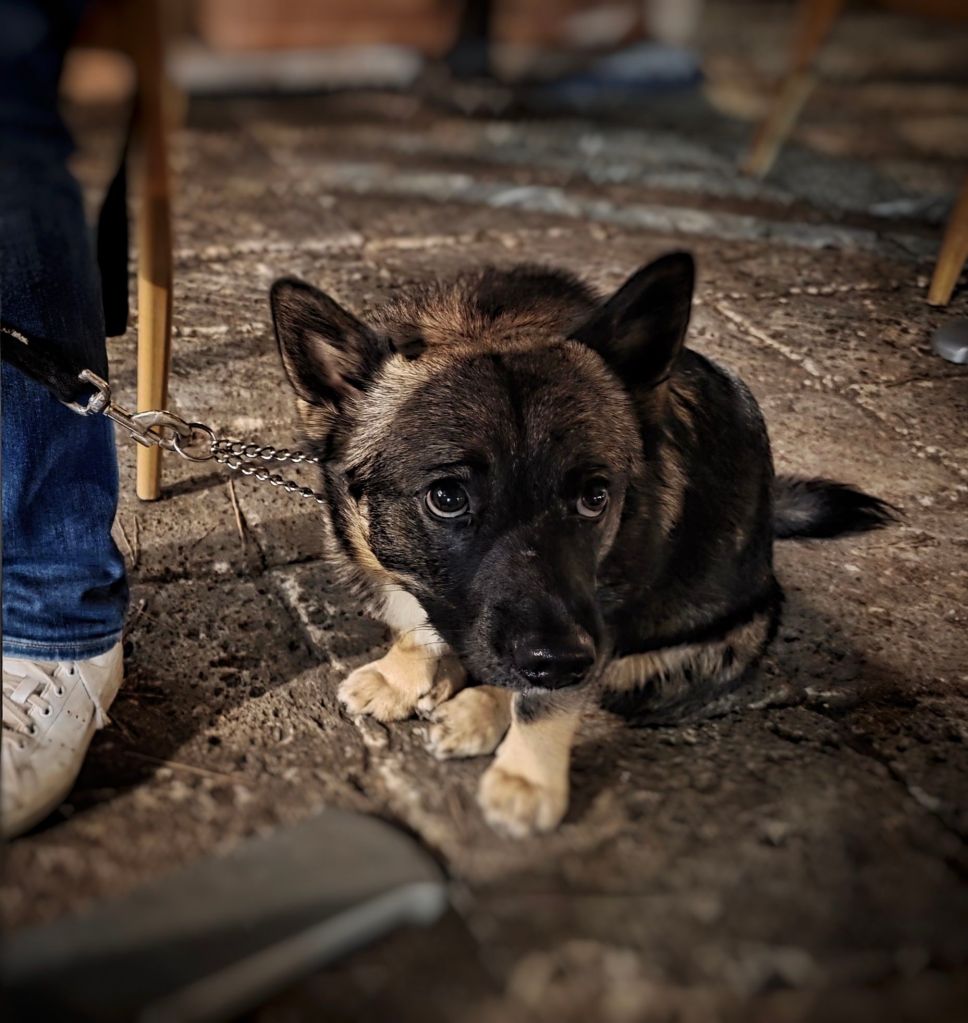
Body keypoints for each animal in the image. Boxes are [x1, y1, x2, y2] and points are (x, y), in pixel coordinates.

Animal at [271, 252, 893, 837]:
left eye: (595, 497)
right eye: (446, 497)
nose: (563, 659)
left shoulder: (602, 621)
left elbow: (543, 703)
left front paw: (525, 779)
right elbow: (413, 621)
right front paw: (406, 674)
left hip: (679, 660)